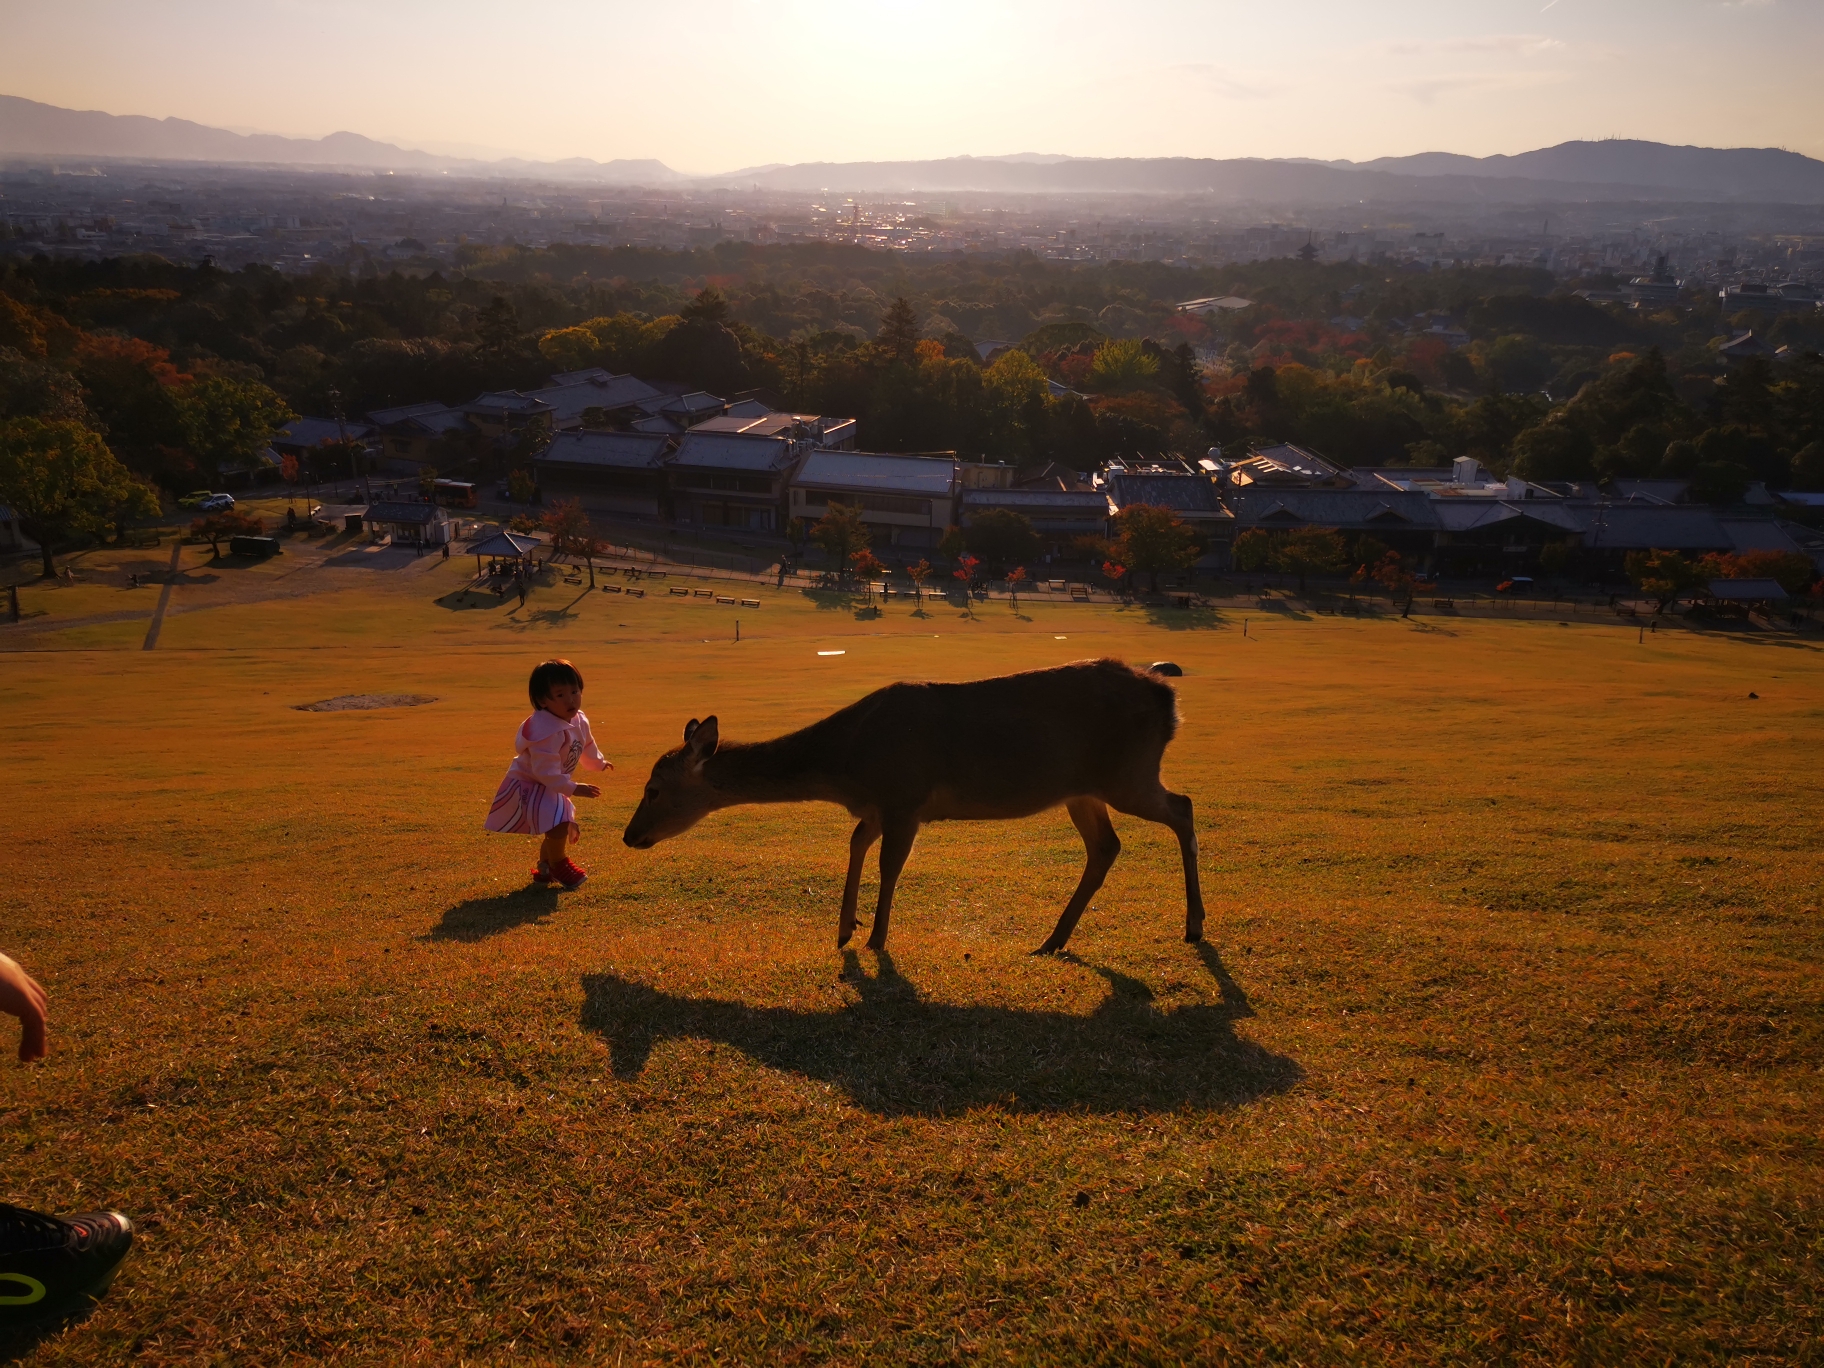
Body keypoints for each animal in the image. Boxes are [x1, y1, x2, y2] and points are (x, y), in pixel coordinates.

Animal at [620, 660, 1203, 955]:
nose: (629, 836)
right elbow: (855, 843)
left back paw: (1195, 926)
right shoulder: (877, 806)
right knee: (1108, 845)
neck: (849, 763)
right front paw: (844, 929)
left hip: (1129, 775)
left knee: (1183, 807)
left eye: (653, 788)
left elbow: (889, 864)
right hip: (1083, 790)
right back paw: (1052, 940)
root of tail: (1168, 699)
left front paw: (876, 939)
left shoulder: (905, 798)